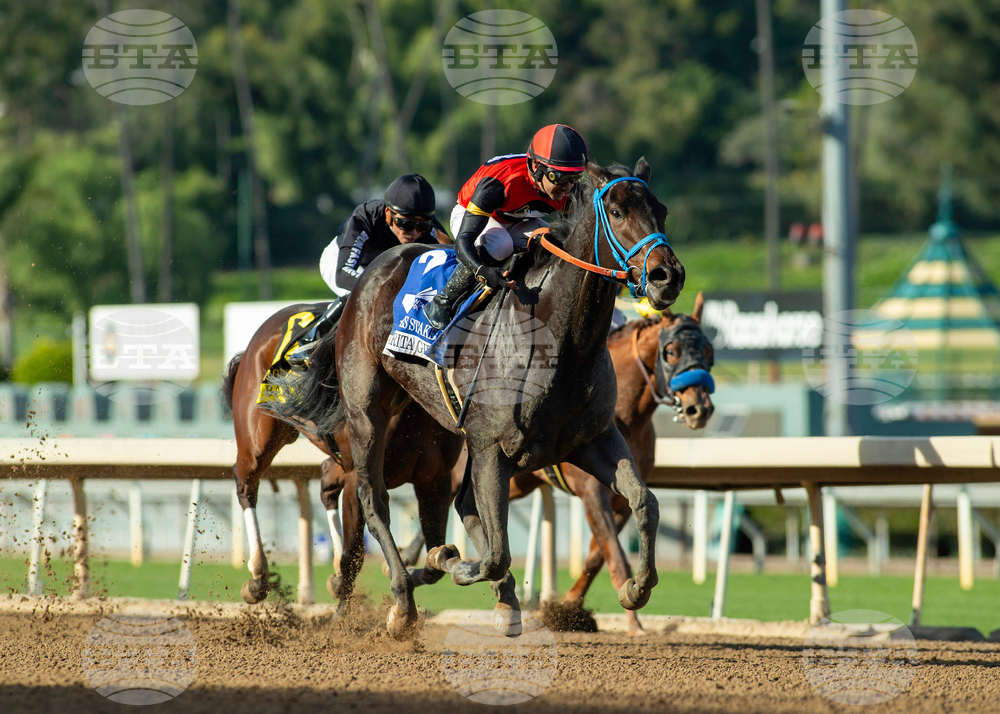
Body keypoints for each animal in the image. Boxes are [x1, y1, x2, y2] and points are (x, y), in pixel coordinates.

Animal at [221, 303, 464, 608]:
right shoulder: (359, 478)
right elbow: (354, 557)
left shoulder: (435, 481)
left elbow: (436, 559)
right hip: (258, 438)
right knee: (246, 482)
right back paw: (258, 577)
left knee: (326, 479)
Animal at [268, 158, 685, 639]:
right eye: (616, 212)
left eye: (662, 210)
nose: (668, 276)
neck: (563, 343)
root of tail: (372, 272)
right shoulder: (491, 448)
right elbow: (496, 553)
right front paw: (451, 564)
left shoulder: (591, 439)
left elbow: (645, 502)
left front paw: (636, 588)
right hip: (367, 413)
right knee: (375, 500)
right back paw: (403, 602)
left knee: (460, 505)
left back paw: (490, 597)